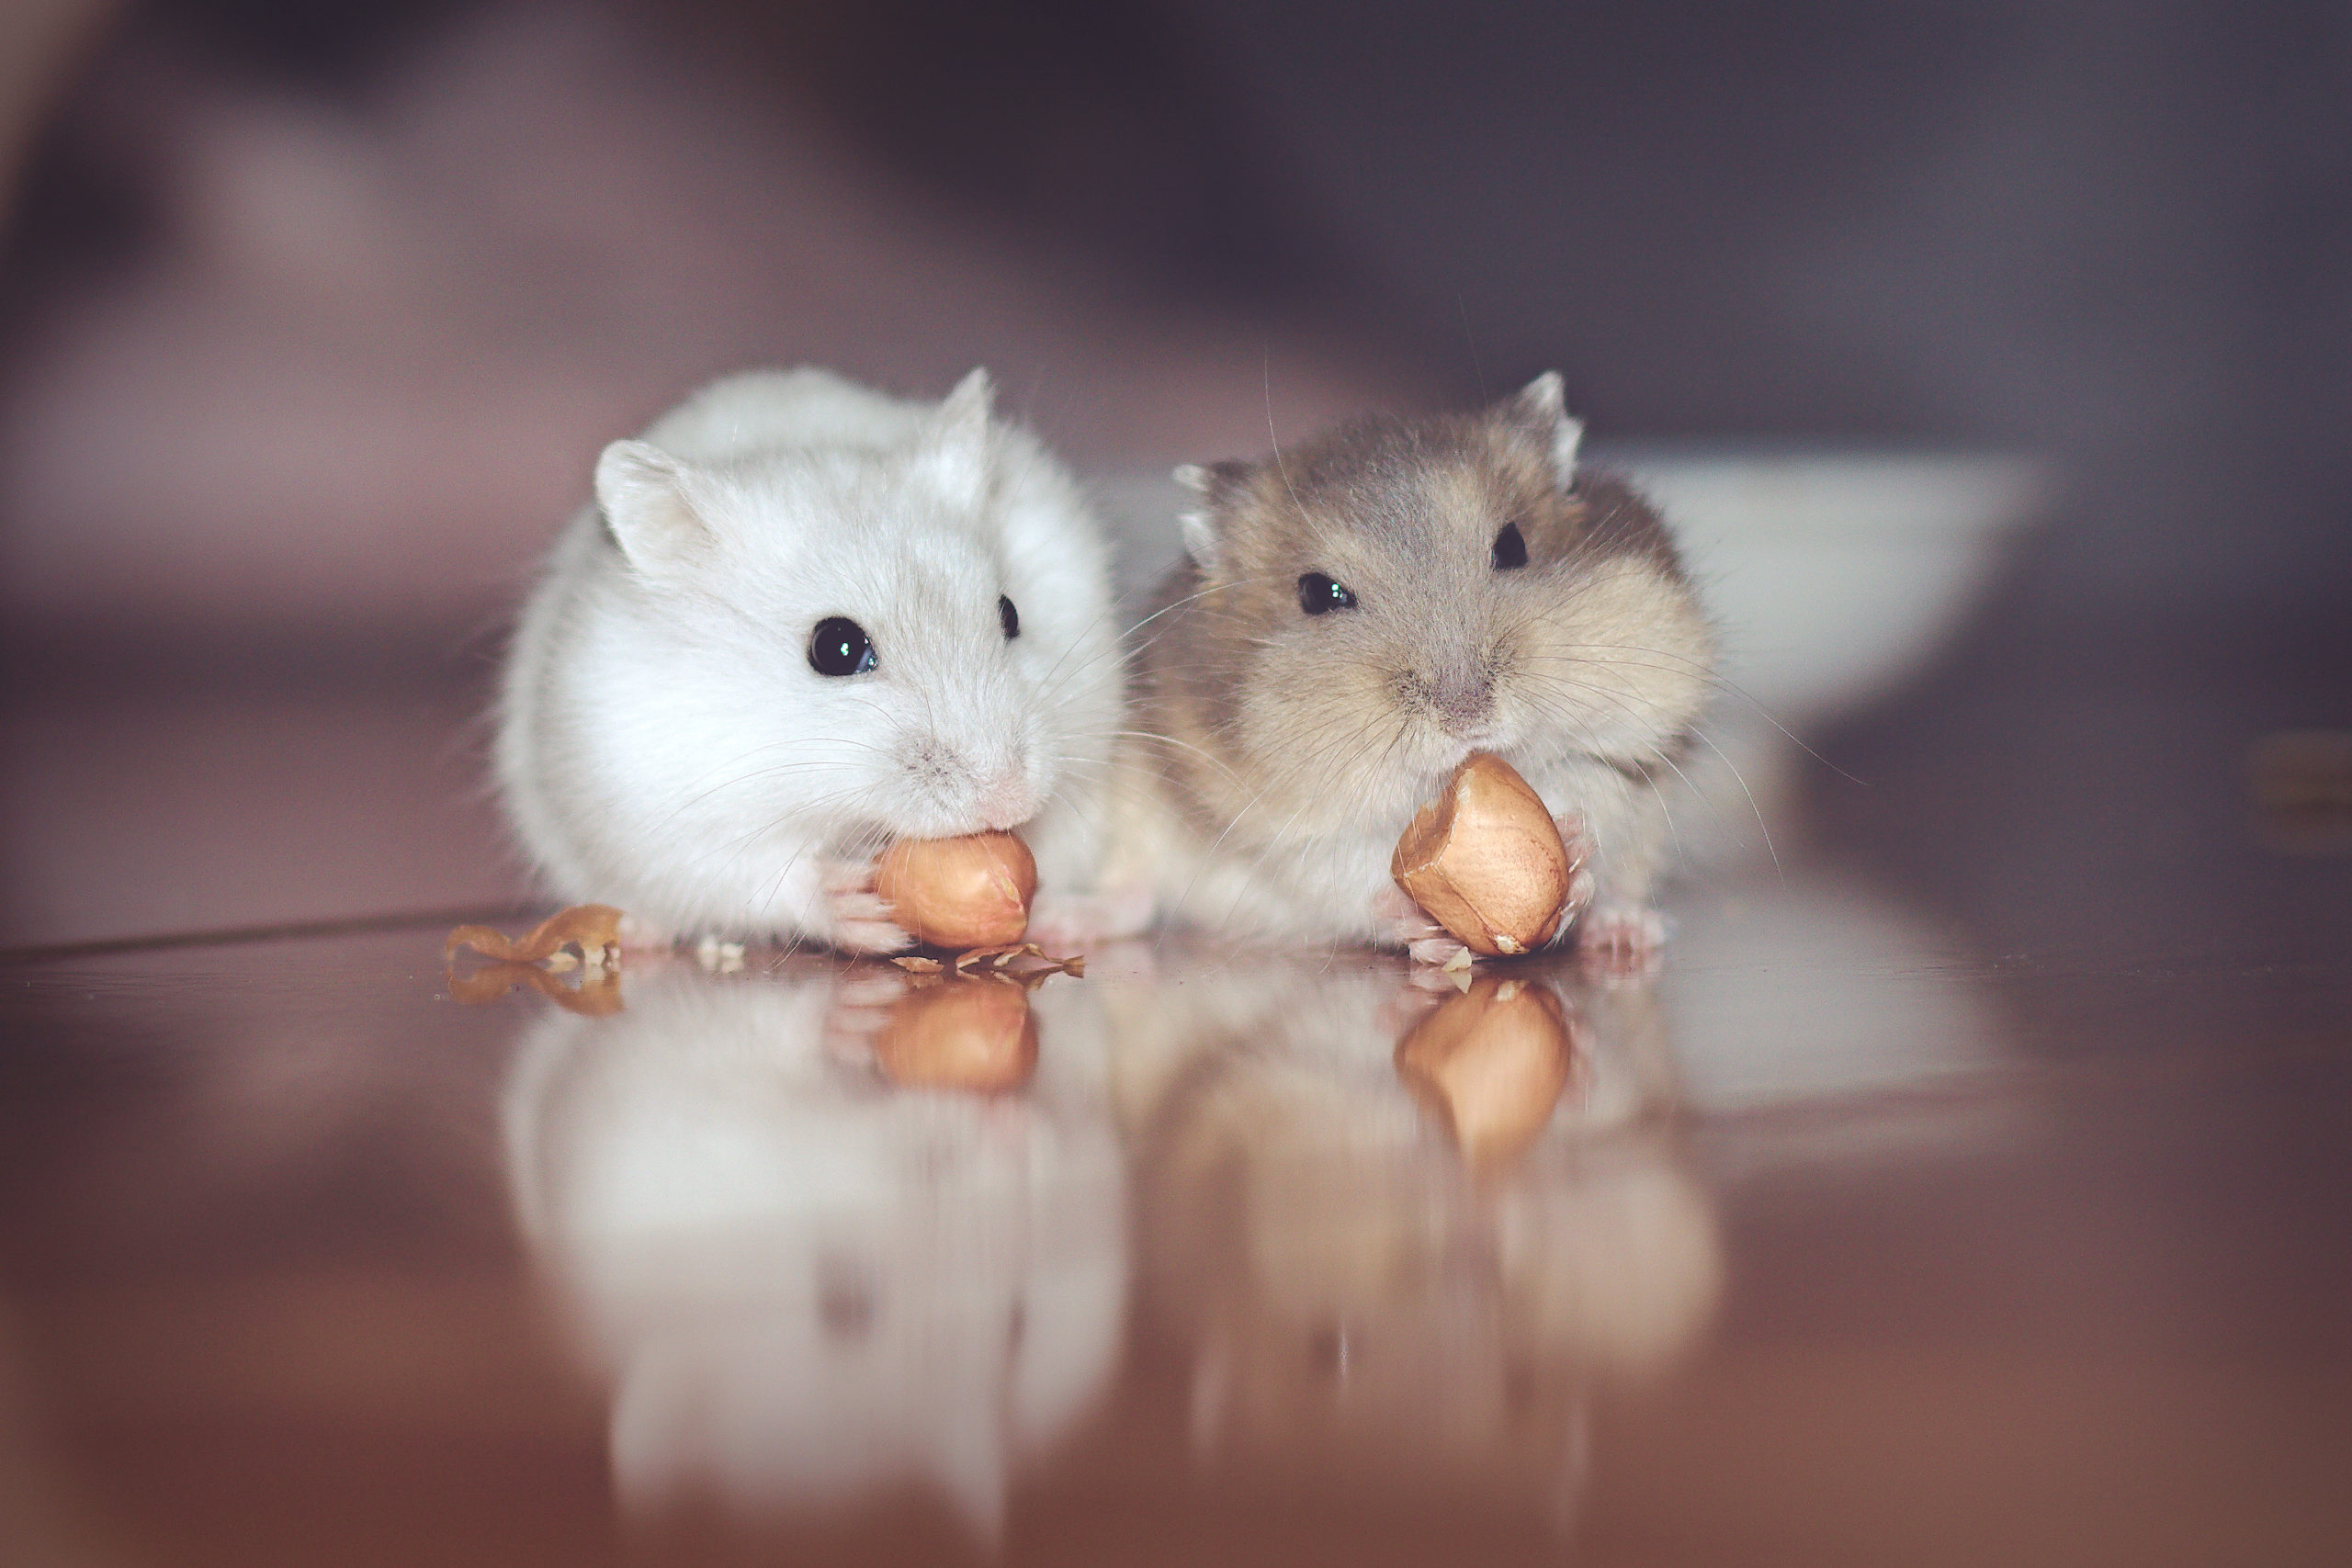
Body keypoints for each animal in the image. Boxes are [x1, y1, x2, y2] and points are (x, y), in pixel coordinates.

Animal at [496, 367, 1123, 952]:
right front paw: (859, 908)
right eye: (836, 648)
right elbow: (766, 878)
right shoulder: (668, 819)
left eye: (1009, 613)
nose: (1008, 799)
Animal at [1096, 373, 1715, 964]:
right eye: (1320, 594)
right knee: (1132, 893)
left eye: (1513, 545)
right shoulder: (1286, 836)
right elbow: (1349, 875)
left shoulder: (1627, 765)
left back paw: (1629, 933)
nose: (1468, 717)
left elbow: (1597, 802)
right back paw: (1079, 920)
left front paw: (1576, 853)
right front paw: (1421, 930)